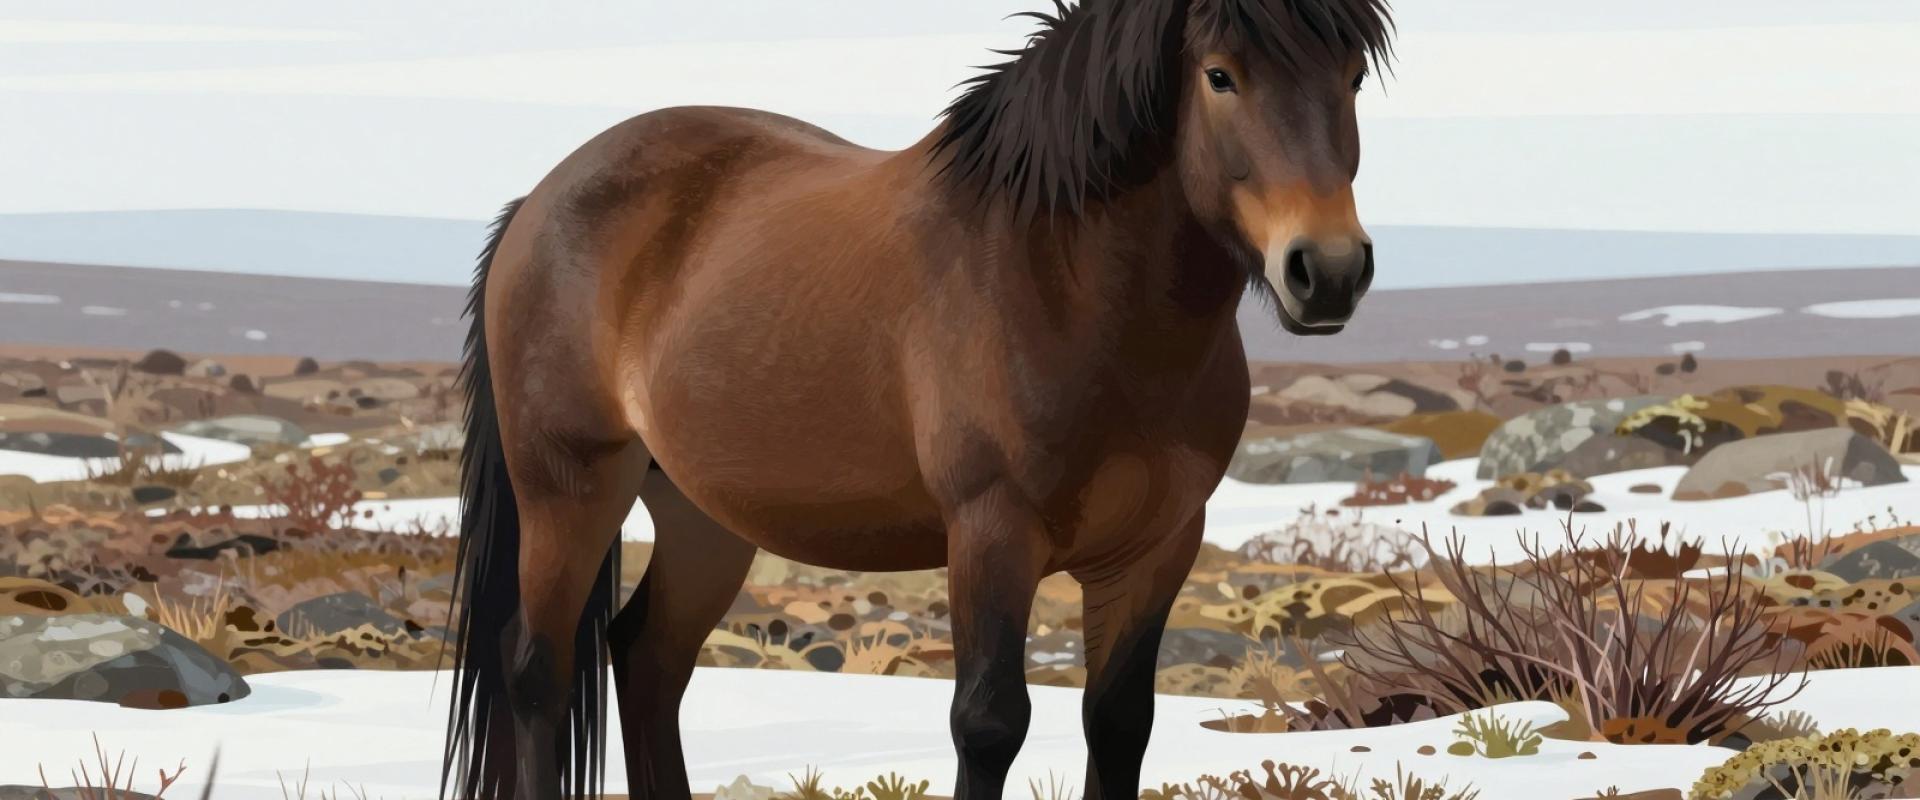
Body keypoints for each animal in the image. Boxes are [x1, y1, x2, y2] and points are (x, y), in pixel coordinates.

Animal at [442, 1, 1392, 798]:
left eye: (1351, 77)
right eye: (1220, 76)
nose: (1328, 271)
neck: (1066, 284)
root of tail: (542, 198)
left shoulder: (1158, 548)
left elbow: (1121, 723)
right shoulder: (991, 532)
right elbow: (989, 722)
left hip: (699, 513)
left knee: (647, 658)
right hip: (570, 488)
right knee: (537, 668)